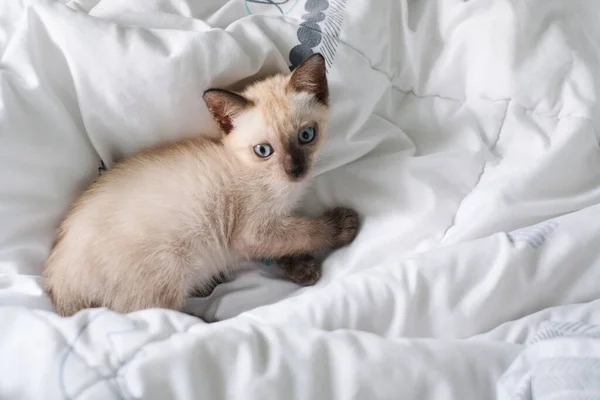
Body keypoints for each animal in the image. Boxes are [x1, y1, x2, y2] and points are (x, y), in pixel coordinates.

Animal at [44, 54, 360, 316]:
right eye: (263, 150)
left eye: (306, 135)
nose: (295, 170)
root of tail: (57, 283)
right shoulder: (254, 232)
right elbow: (304, 231)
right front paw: (342, 227)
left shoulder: (269, 228)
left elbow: (285, 244)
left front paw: (302, 268)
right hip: (168, 268)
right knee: (159, 316)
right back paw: (211, 316)